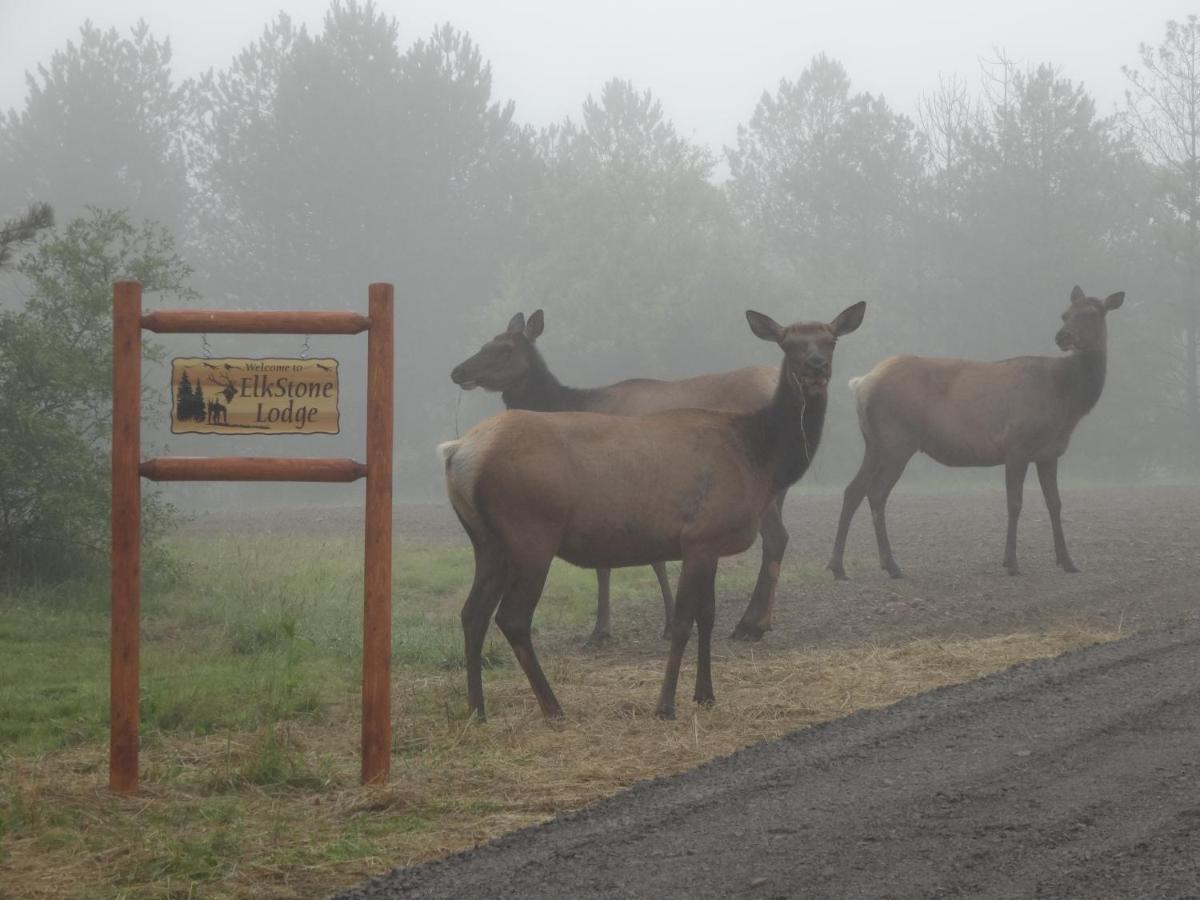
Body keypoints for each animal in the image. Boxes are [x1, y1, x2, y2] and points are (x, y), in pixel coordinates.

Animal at [451, 314, 787, 643]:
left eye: (504, 349)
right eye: (486, 343)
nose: (457, 371)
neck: (571, 404)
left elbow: (618, 564)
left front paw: (605, 628)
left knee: (776, 538)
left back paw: (751, 624)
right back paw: (763, 620)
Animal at [825, 285, 1123, 580]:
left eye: (1093, 313)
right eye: (1065, 314)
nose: (1063, 336)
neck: (1067, 402)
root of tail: (862, 384)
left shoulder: (1049, 453)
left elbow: (1055, 502)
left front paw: (1068, 561)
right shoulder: (1017, 444)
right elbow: (1015, 502)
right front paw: (1011, 563)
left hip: (873, 442)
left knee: (852, 490)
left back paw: (838, 566)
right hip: (898, 439)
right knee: (876, 493)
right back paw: (891, 565)